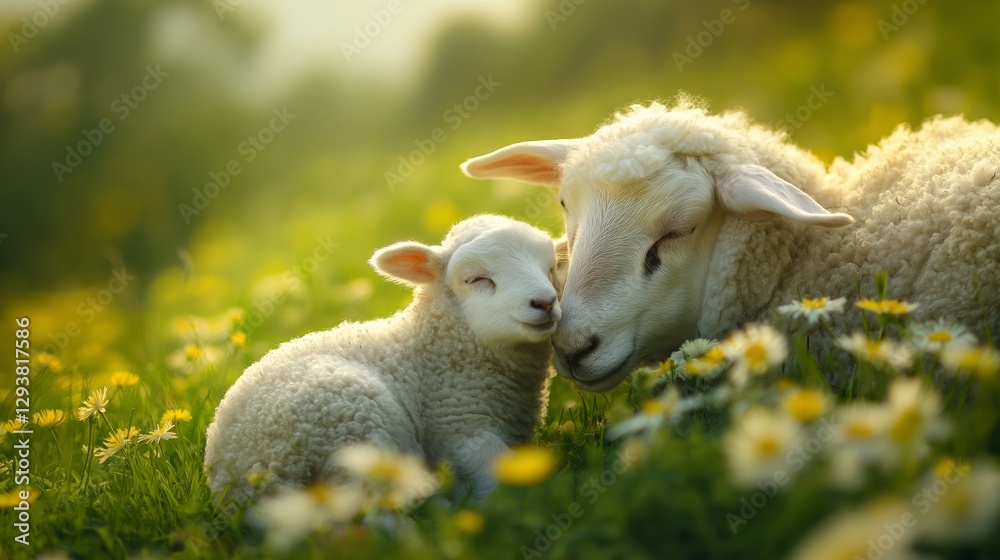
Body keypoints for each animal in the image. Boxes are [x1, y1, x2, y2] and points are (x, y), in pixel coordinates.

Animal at [204, 214, 563, 504]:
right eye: (475, 278)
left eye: (551, 269)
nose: (545, 303)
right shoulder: (457, 429)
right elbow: (497, 473)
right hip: (355, 428)